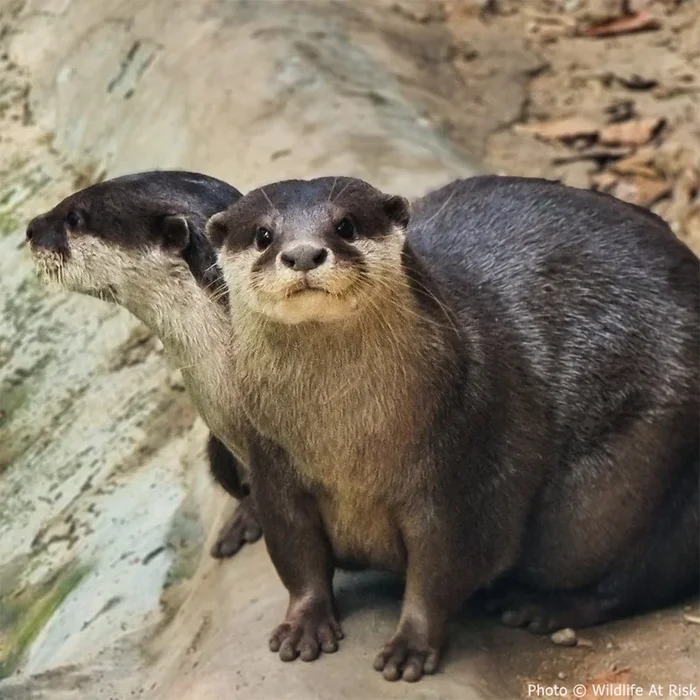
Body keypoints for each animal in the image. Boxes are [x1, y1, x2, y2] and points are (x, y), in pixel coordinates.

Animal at [209, 175, 699, 682]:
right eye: (264, 235)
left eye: (345, 225)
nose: (304, 253)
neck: (345, 444)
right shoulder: (275, 465)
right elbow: (296, 555)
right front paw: (304, 622)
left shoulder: (462, 462)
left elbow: (442, 570)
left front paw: (411, 644)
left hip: (635, 482)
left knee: (637, 577)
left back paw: (543, 607)